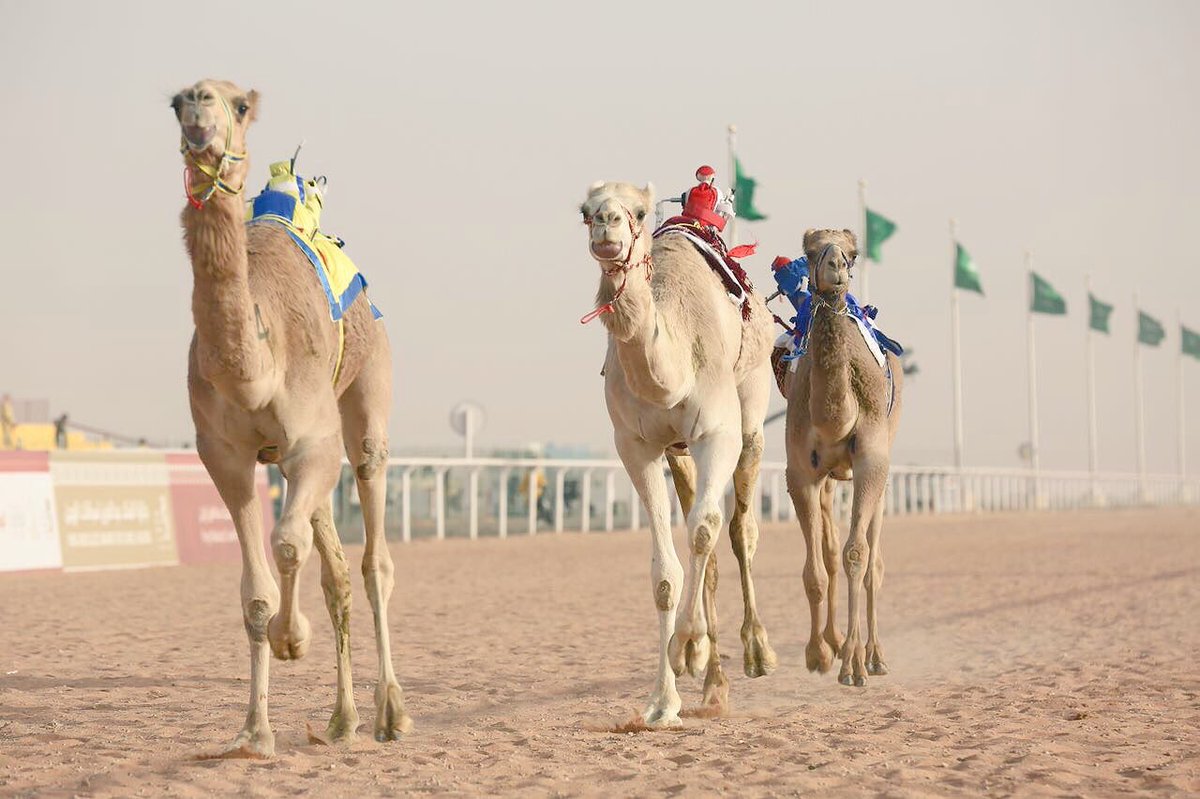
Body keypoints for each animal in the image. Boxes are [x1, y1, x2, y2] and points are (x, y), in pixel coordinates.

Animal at [171, 76, 410, 753]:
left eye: (239, 104)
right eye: (175, 102)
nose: (198, 114)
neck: (256, 364)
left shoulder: (311, 442)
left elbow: (285, 544)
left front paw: (292, 636)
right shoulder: (223, 456)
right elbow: (254, 591)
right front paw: (254, 732)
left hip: (368, 393)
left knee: (373, 557)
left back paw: (390, 713)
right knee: (337, 573)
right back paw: (342, 719)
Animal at [782, 225, 902, 686]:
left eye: (853, 251)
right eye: (810, 250)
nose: (835, 265)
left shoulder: (871, 461)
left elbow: (857, 556)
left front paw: (853, 664)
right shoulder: (800, 472)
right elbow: (815, 569)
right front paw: (819, 653)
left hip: (881, 469)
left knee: (874, 562)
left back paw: (874, 656)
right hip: (831, 477)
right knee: (831, 554)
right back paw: (834, 643)